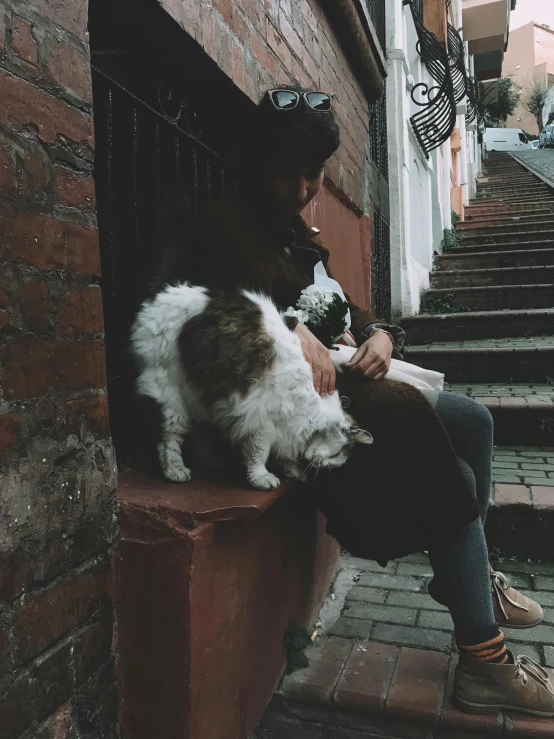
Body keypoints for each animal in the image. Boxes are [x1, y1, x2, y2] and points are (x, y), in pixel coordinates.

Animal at [130, 284, 370, 492]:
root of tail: (157, 301)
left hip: (198, 392)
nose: (322, 466)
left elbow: (283, 451)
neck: (316, 401)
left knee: (197, 430)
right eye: (337, 454)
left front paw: (292, 469)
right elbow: (258, 454)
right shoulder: (261, 420)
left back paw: (211, 459)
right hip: (170, 394)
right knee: (168, 439)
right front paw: (261, 478)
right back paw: (175, 470)